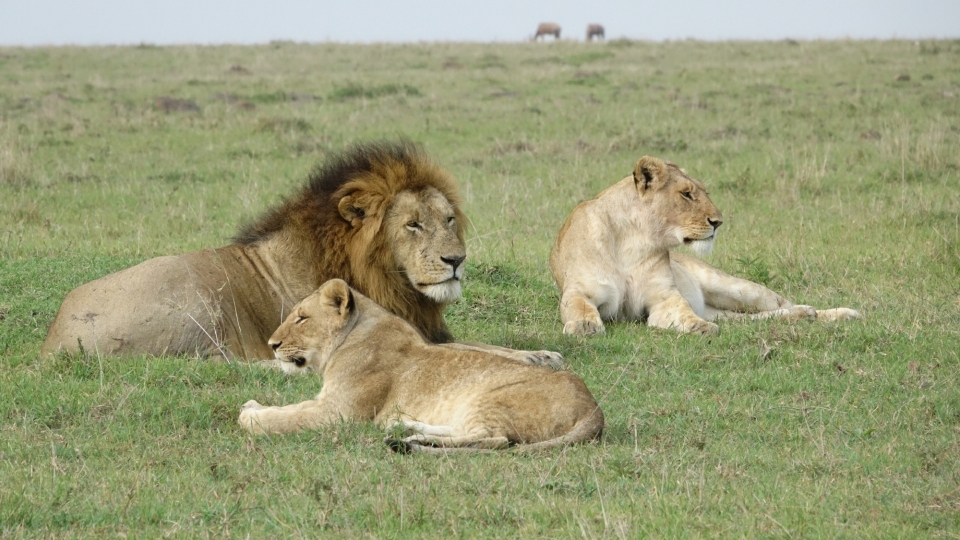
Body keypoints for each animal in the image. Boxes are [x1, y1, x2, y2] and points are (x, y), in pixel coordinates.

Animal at [41, 141, 560, 364]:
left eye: (448, 220)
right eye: (413, 225)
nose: (456, 261)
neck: (387, 279)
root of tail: (54, 341)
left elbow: (486, 345)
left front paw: (540, 354)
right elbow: (472, 350)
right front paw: (529, 359)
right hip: (197, 297)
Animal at [238, 280, 608, 454]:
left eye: (301, 318)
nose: (272, 345)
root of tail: (594, 409)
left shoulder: (338, 413)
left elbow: (285, 418)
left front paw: (249, 415)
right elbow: (288, 411)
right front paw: (252, 405)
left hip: (489, 399)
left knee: (495, 440)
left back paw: (411, 440)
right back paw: (407, 428)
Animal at [548, 154, 864, 336]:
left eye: (703, 192)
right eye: (687, 194)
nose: (718, 222)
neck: (633, 239)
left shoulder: (663, 297)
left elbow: (682, 311)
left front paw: (699, 327)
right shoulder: (581, 290)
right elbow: (578, 307)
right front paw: (584, 326)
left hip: (735, 287)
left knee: (781, 303)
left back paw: (833, 313)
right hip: (728, 310)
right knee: (753, 318)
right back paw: (804, 315)